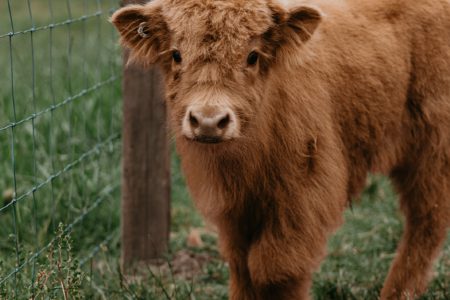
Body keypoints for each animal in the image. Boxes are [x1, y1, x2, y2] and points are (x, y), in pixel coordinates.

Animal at [110, 0, 450, 298]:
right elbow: (241, 266)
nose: (208, 121)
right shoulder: (236, 211)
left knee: (426, 221)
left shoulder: (302, 199)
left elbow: (275, 270)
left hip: (433, 148)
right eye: (176, 55)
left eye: (252, 56)